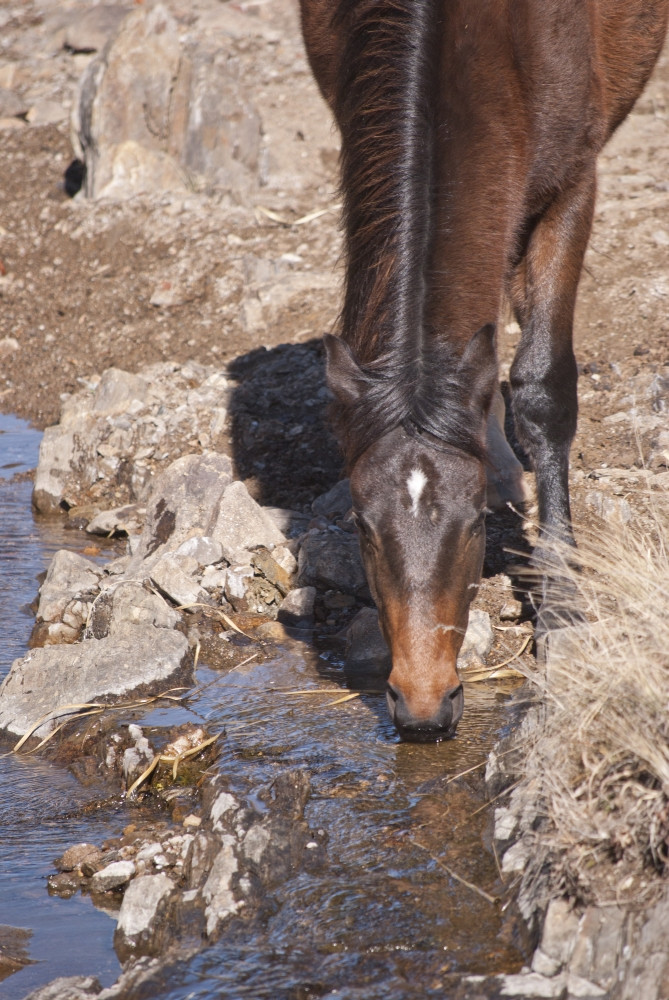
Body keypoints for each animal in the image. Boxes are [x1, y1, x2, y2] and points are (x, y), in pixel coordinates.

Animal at [298, 1, 668, 744]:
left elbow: (542, 389)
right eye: (361, 525)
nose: (421, 706)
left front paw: (562, 602)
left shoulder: (571, 188)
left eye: (472, 524)